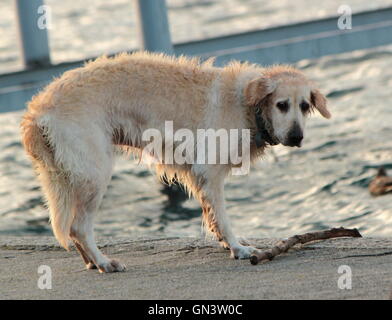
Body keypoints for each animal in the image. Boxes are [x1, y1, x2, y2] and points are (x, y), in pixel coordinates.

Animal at [19, 52, 330, 272]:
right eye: (282, 105)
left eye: (304, 106)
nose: (297, 137)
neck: (247, 104)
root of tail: (38, 110)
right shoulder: (209, 172)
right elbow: (224, 218)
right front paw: (239, 249)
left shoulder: (199, 177)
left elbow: (214, 218)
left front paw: (228, 244)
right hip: (95, 173)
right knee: (78, 227)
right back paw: (104, 262)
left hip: (69, 175)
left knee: (72, 227)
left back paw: (92, 262)